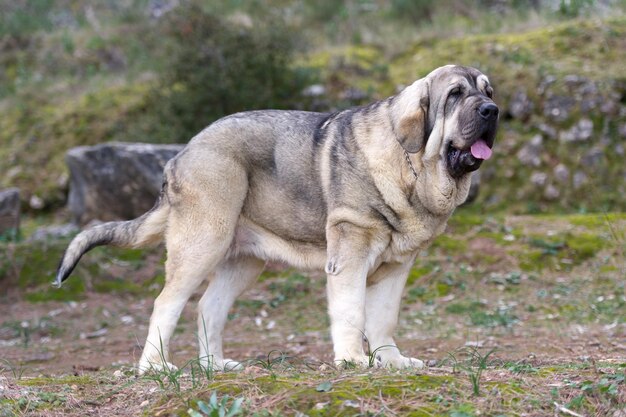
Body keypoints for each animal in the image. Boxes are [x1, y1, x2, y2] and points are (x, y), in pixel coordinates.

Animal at [57, 66, 498, 374]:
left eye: (488, 91)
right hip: (204, 241)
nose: (492, 110)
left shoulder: (396, 268)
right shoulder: (350, 254)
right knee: (167, 302)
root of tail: (181, 153)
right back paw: (155, 367)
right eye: (455, 95)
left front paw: (391, 361)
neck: (413, 166)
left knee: (208, 307)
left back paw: (213, 365)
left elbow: (383, 318)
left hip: (244, 260)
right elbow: (352, 311)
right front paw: (353, 360)